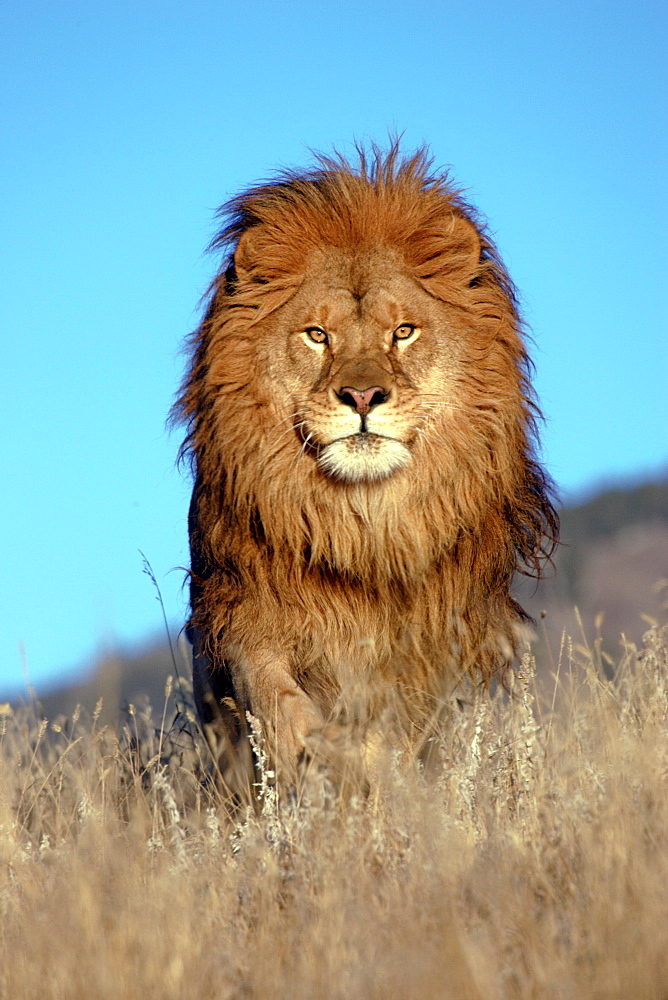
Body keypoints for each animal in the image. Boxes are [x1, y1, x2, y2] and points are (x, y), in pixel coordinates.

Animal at [176, 146, 560, 788]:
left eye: (402, 331)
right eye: (316, 334)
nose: (361, 396)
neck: (364, 522)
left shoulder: (425, 651)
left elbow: (390, 743)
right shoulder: (246, 612)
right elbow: (274, 698)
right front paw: (310, 758)